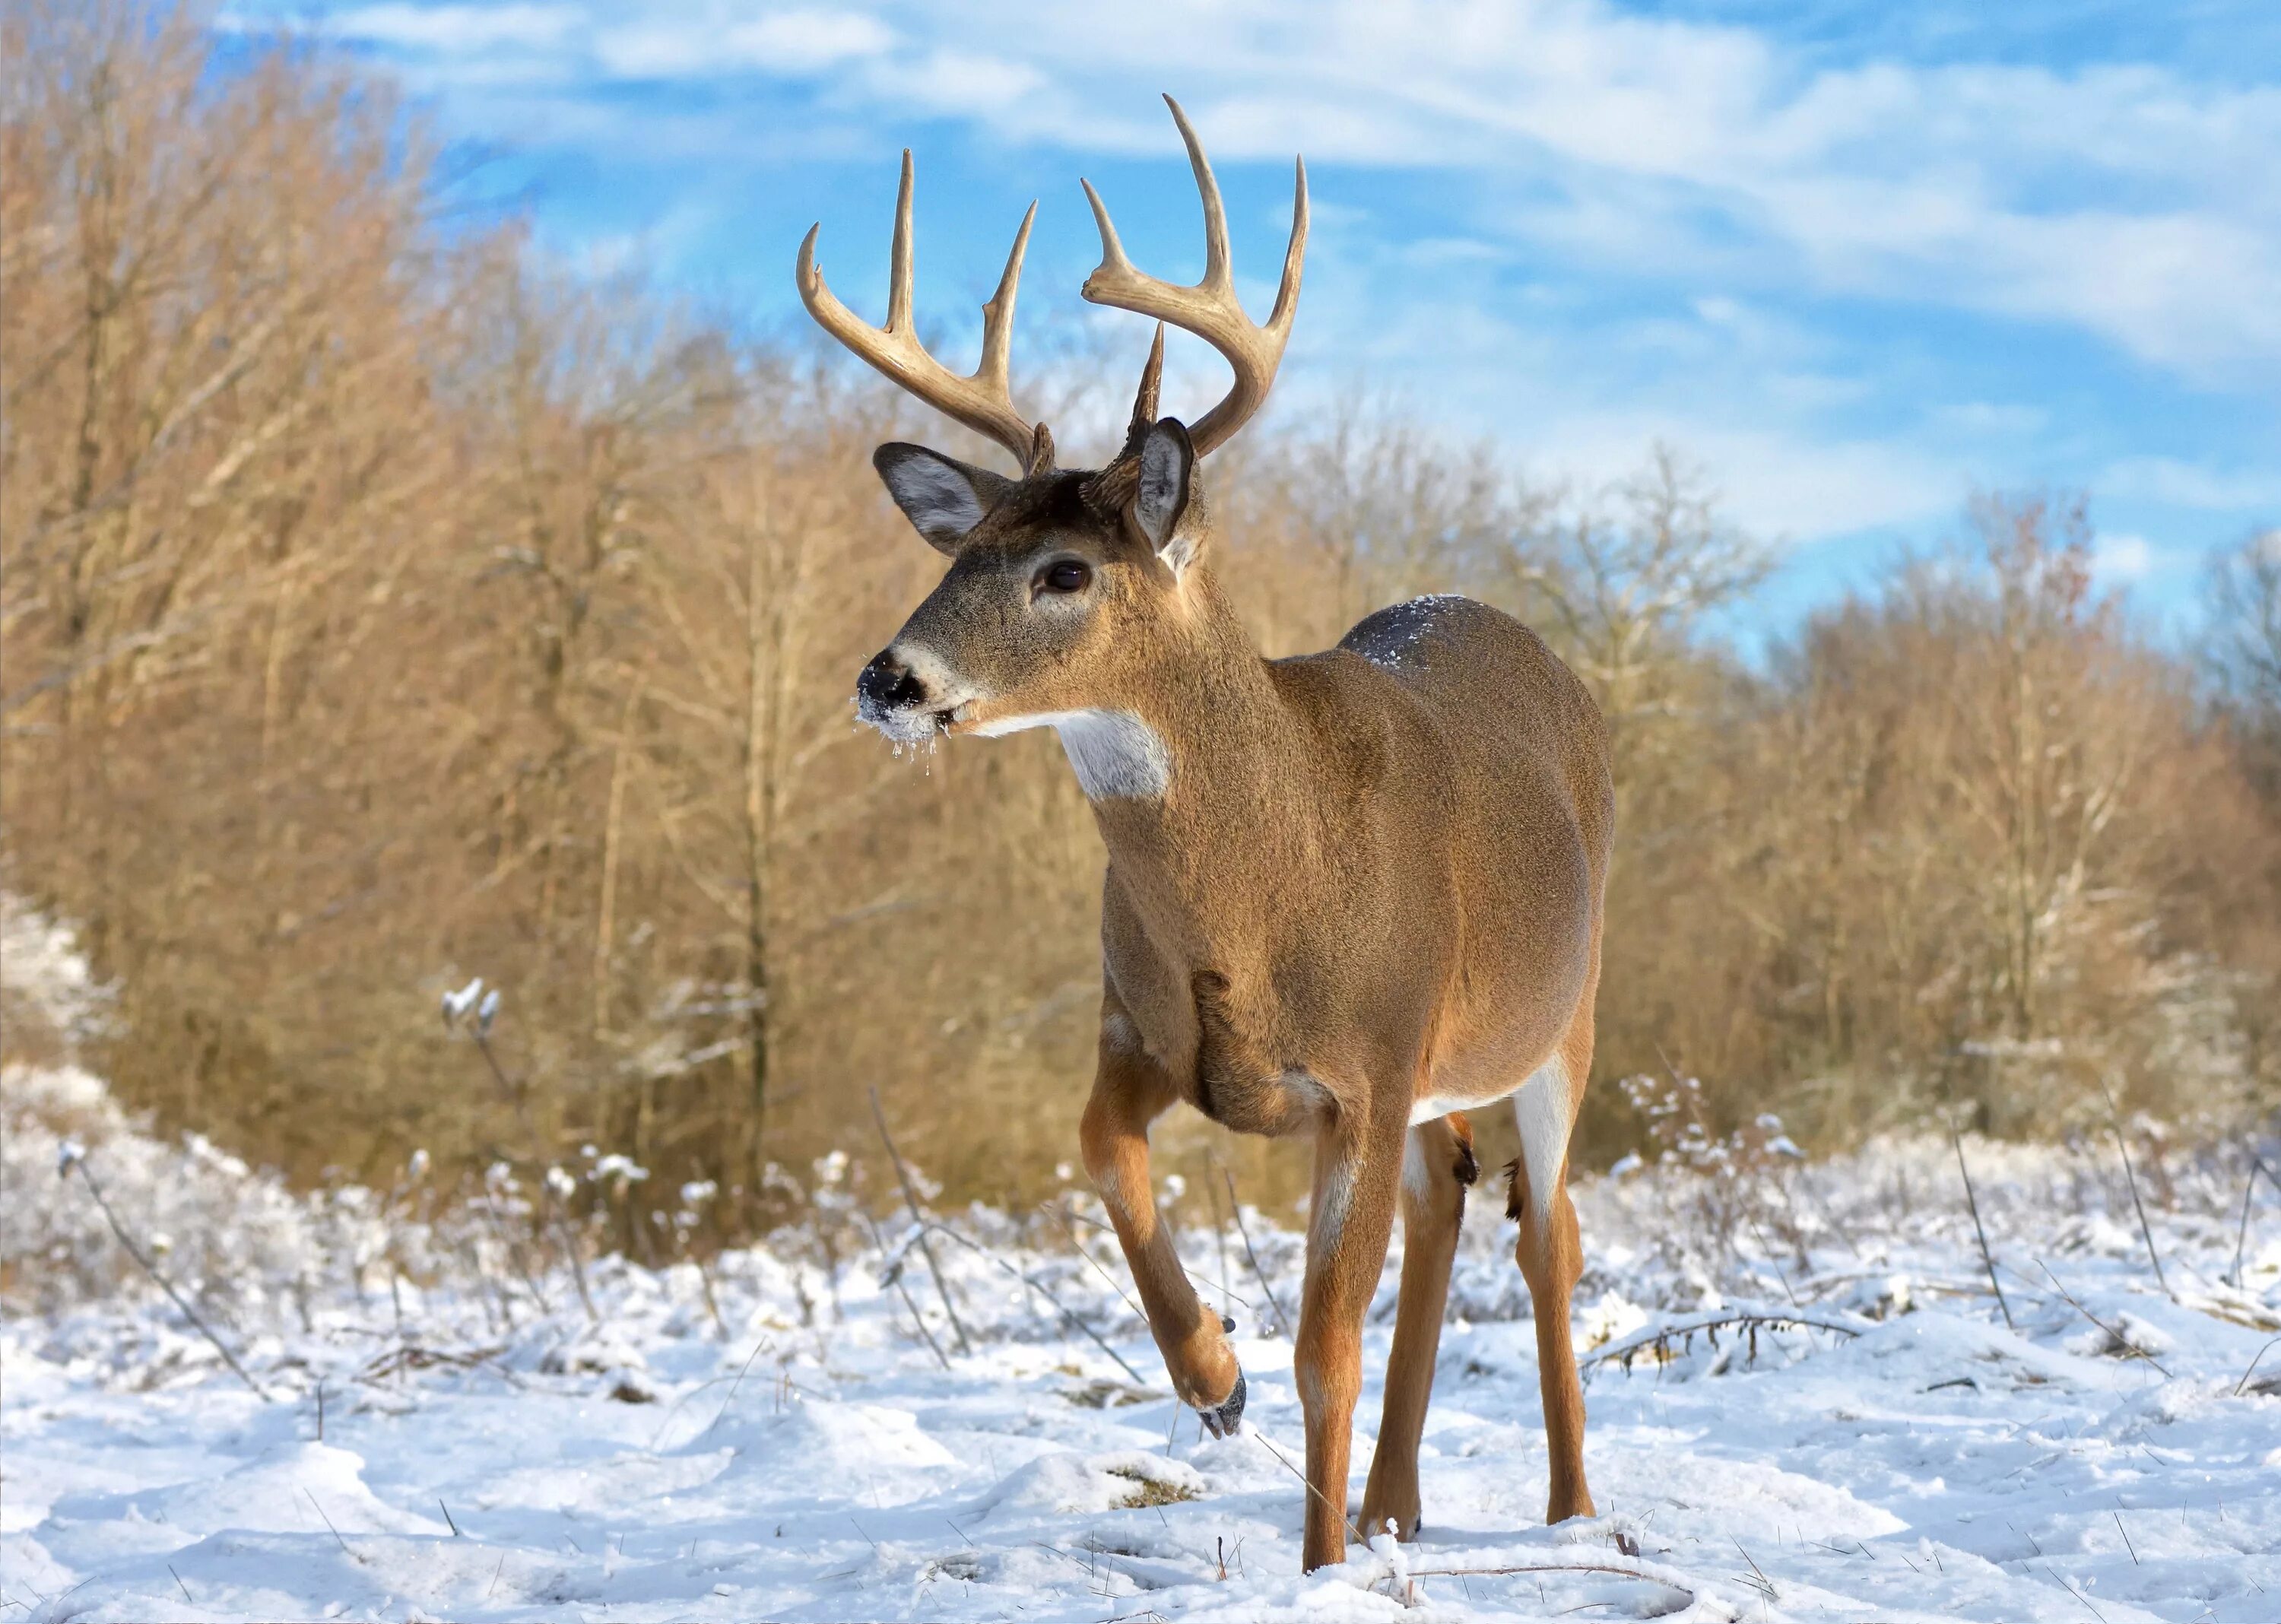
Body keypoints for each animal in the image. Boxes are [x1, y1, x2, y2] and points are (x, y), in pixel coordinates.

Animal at [803, 95, 1624, 1569]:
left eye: (1066, 570)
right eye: (959, 553)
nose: (888, 681)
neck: (1263, 891)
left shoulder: (1369, 1067)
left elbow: (1325, 1350)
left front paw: (1319, 1568)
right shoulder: (1146, 1028)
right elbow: (1100, 1154)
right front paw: (1212, 1379)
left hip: (1561, 1017)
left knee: (1551, 1236)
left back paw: (1571, 1512)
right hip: (1441, 1078)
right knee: (1448, 1203)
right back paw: (1397, 1503)